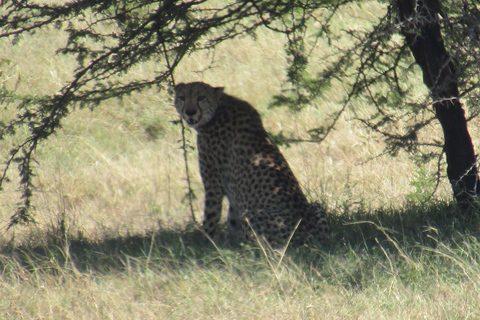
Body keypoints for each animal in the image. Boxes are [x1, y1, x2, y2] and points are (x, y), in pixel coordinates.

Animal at [174, 81, 332, 246]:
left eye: (201, 97)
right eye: (182, 97)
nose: (190, 112)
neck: (218, 108)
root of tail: (306, 238)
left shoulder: (213, 185)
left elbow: (211, 218)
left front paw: (207, 244)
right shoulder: (234, 193)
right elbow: (232, 220)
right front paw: (229, 245)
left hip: (253, 216)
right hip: (316, 207)